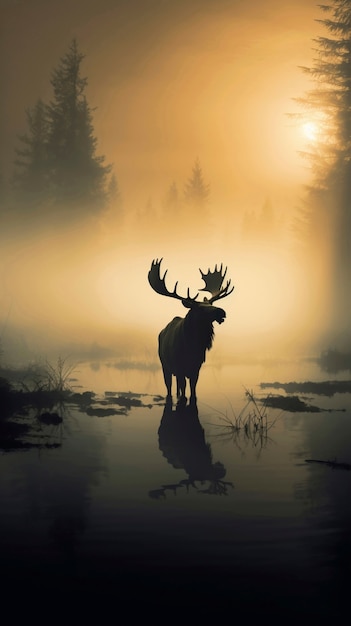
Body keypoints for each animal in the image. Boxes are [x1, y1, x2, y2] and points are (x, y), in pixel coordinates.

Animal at [147, 258, 235, 400]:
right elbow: (183, 392)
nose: (221, 311)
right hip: (165, 365)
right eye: (199, 308)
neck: (191, 347)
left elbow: (193, 391)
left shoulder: (196, 367)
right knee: (169, 388)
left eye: (211, 304)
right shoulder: (179, 367)